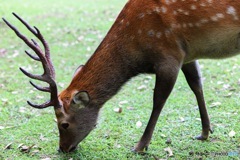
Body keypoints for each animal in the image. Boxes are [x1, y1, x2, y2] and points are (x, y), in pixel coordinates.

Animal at [1, 0, 240, 154]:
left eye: (64, 124)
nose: (62, 148)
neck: (137, 50)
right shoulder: (187, 54)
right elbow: (196, 84)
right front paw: (205, 132)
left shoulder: (168, 55)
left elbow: (158, 100)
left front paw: (140, 146)